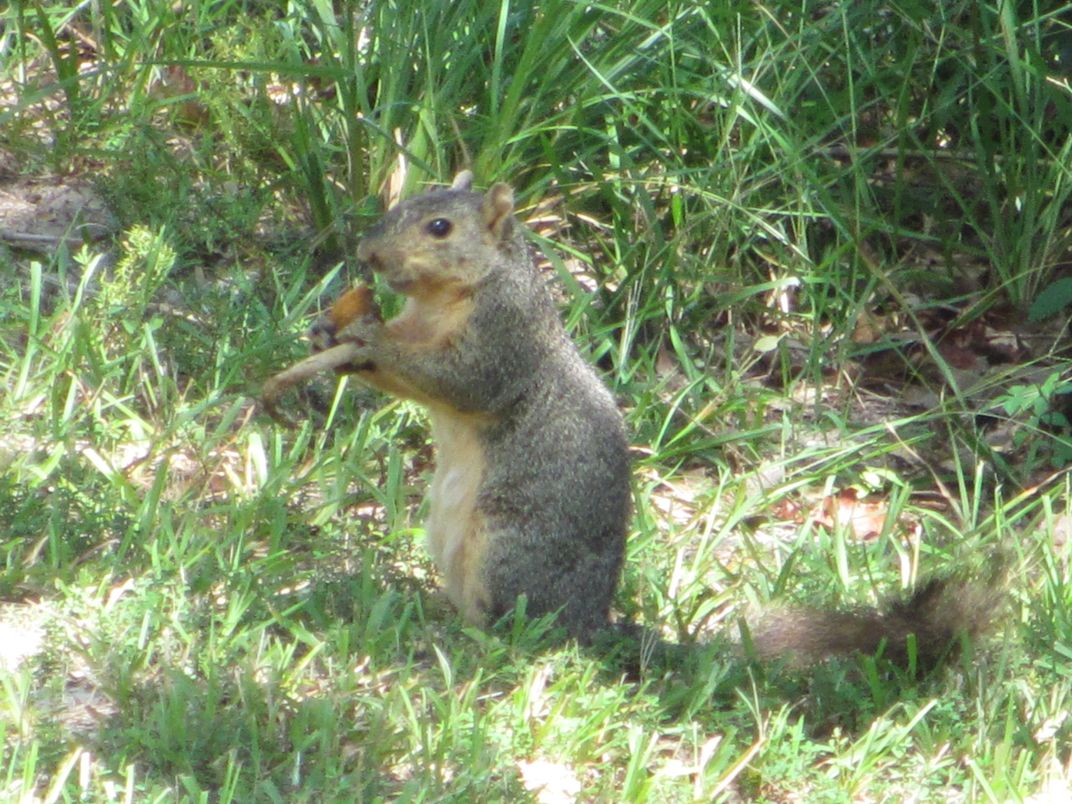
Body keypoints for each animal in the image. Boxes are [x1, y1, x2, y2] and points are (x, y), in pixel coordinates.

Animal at [307, 171, 996, 666]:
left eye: (440, 226)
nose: (367, 252)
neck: (445, 301)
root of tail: (591, 621)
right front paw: (329, 332)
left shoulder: (504, 340)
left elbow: (459, 382)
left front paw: (367, 339)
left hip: (509, 546)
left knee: (523, 630)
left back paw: (468, 640)